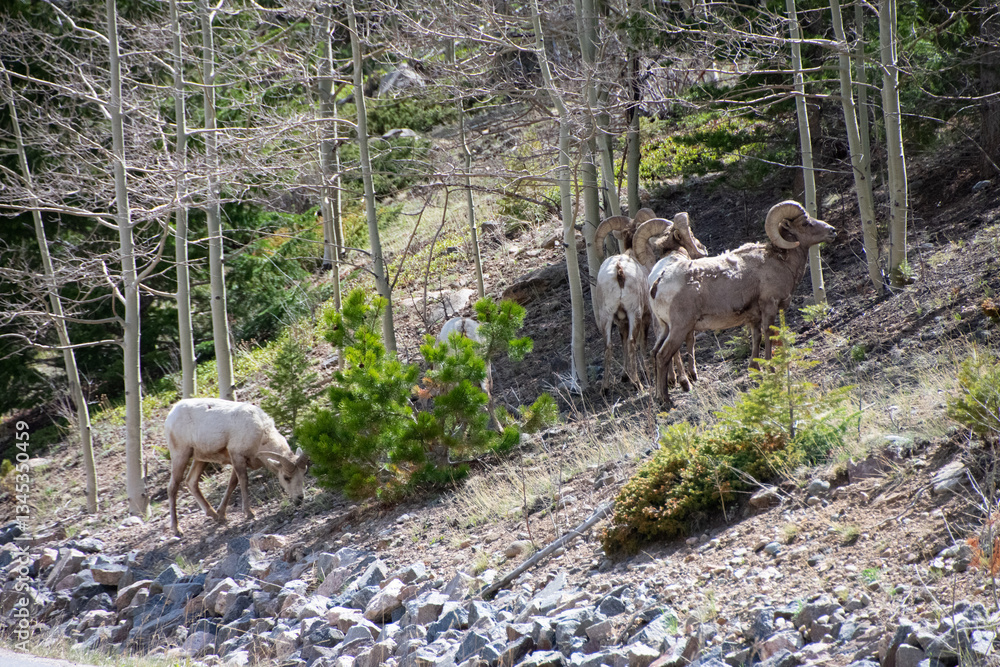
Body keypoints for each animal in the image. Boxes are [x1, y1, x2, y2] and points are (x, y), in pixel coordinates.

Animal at [165, 398, 308, 537]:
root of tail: (171, 414)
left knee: (191, 482)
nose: (299, 498)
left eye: (303, 475)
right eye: (286, 477)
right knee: (172, 487)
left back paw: (213, 515)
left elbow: (232, 483)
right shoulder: (237, 456)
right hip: (181, 455)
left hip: (200, 458)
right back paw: (177, 530)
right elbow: (243, 481)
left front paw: (222, 515)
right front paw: (249, 513)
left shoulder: (236, 460)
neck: (261, 434)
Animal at [593, 210, 708, 391]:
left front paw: (624, 376)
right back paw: (640, 383)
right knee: (634, 342)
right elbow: (645, 344)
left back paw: (605, 388)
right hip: (636, 314)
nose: (702, 248)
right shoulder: (646, 317)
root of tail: (618, 269)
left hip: (607, 316)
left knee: (609, 346)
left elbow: (623, 343)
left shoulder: (621, 322)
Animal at [646, 200, 837, 406]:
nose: (832, 231)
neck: (781, 262)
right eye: (805, 223)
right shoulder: (770, 306)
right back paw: (667, 400)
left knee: (655, 353)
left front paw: (755, 369)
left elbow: (756, 338)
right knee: (663, 356)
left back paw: (659, 397)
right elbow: (768, 335)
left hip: (665, 328)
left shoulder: (754, 317)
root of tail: (657, 283)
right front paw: (770, 369)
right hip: (679, 328)